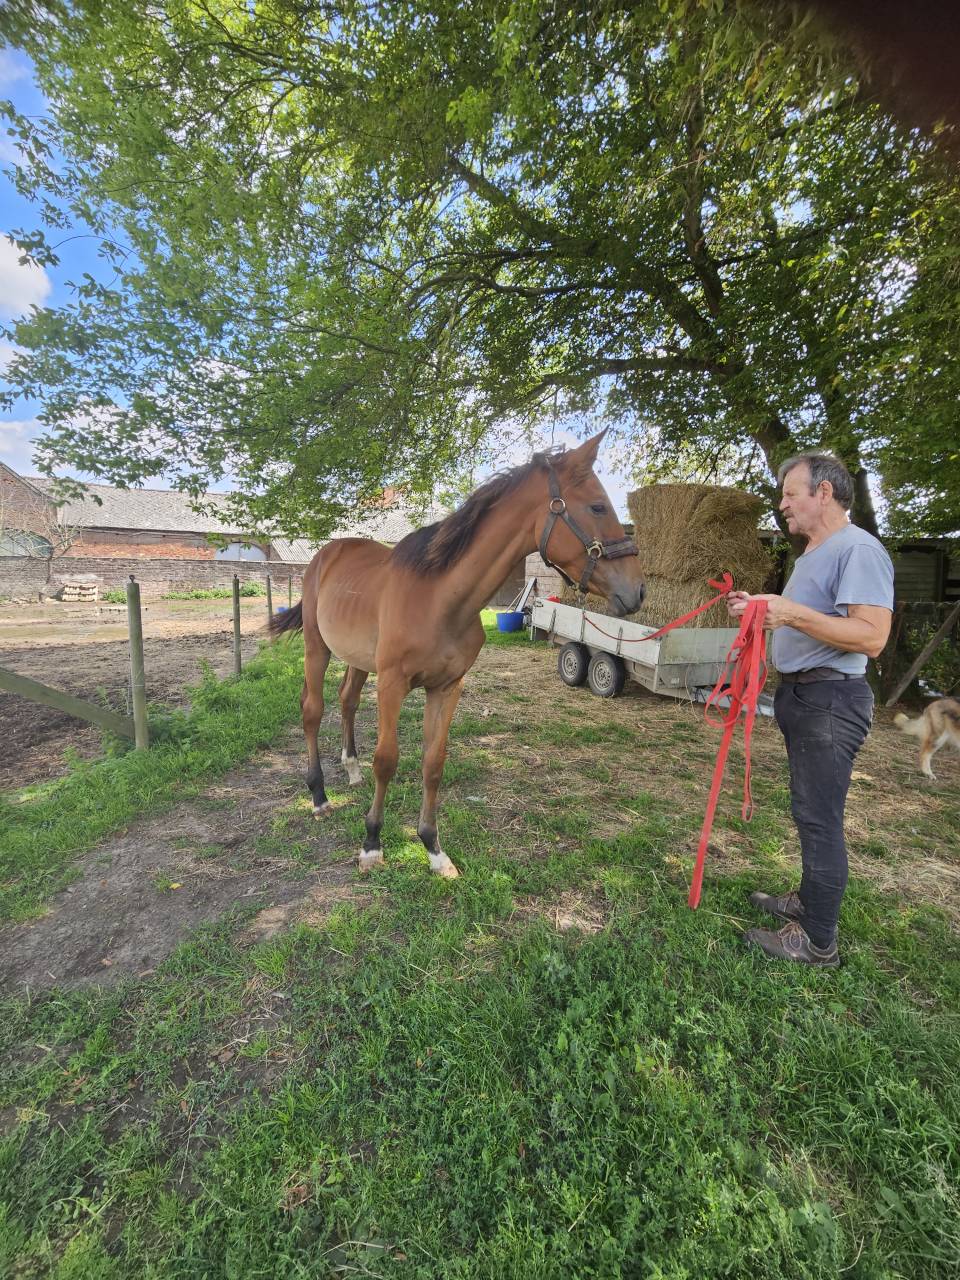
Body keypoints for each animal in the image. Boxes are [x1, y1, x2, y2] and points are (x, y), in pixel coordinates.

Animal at [269, 430, 645, 878]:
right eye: (597, 506)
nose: (637, 592)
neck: (439, 599)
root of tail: (325, 555)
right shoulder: (393, 684)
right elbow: (387, 759)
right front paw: (372, 843)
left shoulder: (448, 687)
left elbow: (434, 763)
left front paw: (433, 849)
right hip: (317, 647)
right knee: (312, 709)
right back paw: (319, 796)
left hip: (358, 659)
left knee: (347, 700)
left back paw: (351, 768)